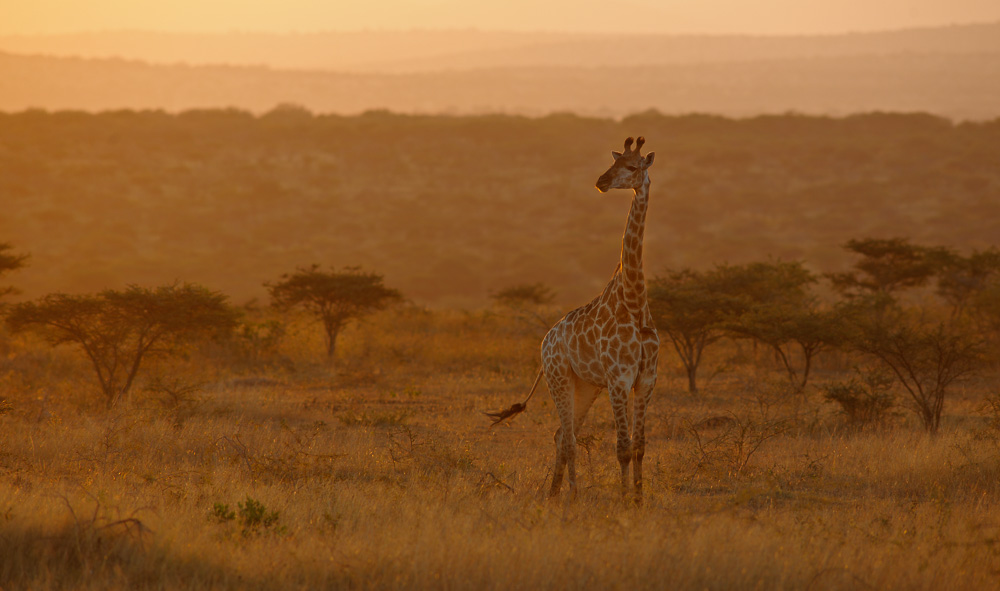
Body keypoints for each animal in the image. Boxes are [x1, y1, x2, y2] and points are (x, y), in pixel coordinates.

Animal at [488, 138, 660, 504]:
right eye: (614, 163)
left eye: (632, 167)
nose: (601, 181)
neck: (635, 302)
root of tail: (546, 341)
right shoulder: (619, 379)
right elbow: (622, 447)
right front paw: (624, 501)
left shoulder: (646, 379)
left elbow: (639, 447)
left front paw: (639, 501)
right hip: (560, 378)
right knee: (567, 438)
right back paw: (571, 495)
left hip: (586, 386)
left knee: (560, 435)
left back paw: (556, 493)